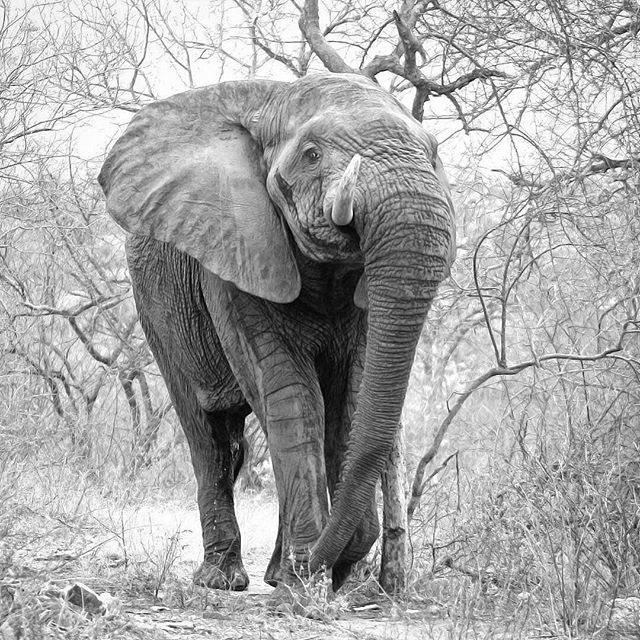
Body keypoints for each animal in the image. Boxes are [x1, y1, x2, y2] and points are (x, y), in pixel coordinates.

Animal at [98, 72, 455, 602]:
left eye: (432, 154)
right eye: (311, 154)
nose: (330, 568)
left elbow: (350, 398)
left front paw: (319, 576)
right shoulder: (235, 249)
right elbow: (290, 393)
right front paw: (303, 582)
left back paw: (272, 574)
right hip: (156, 307)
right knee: (209, 434)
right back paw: (223, 580)